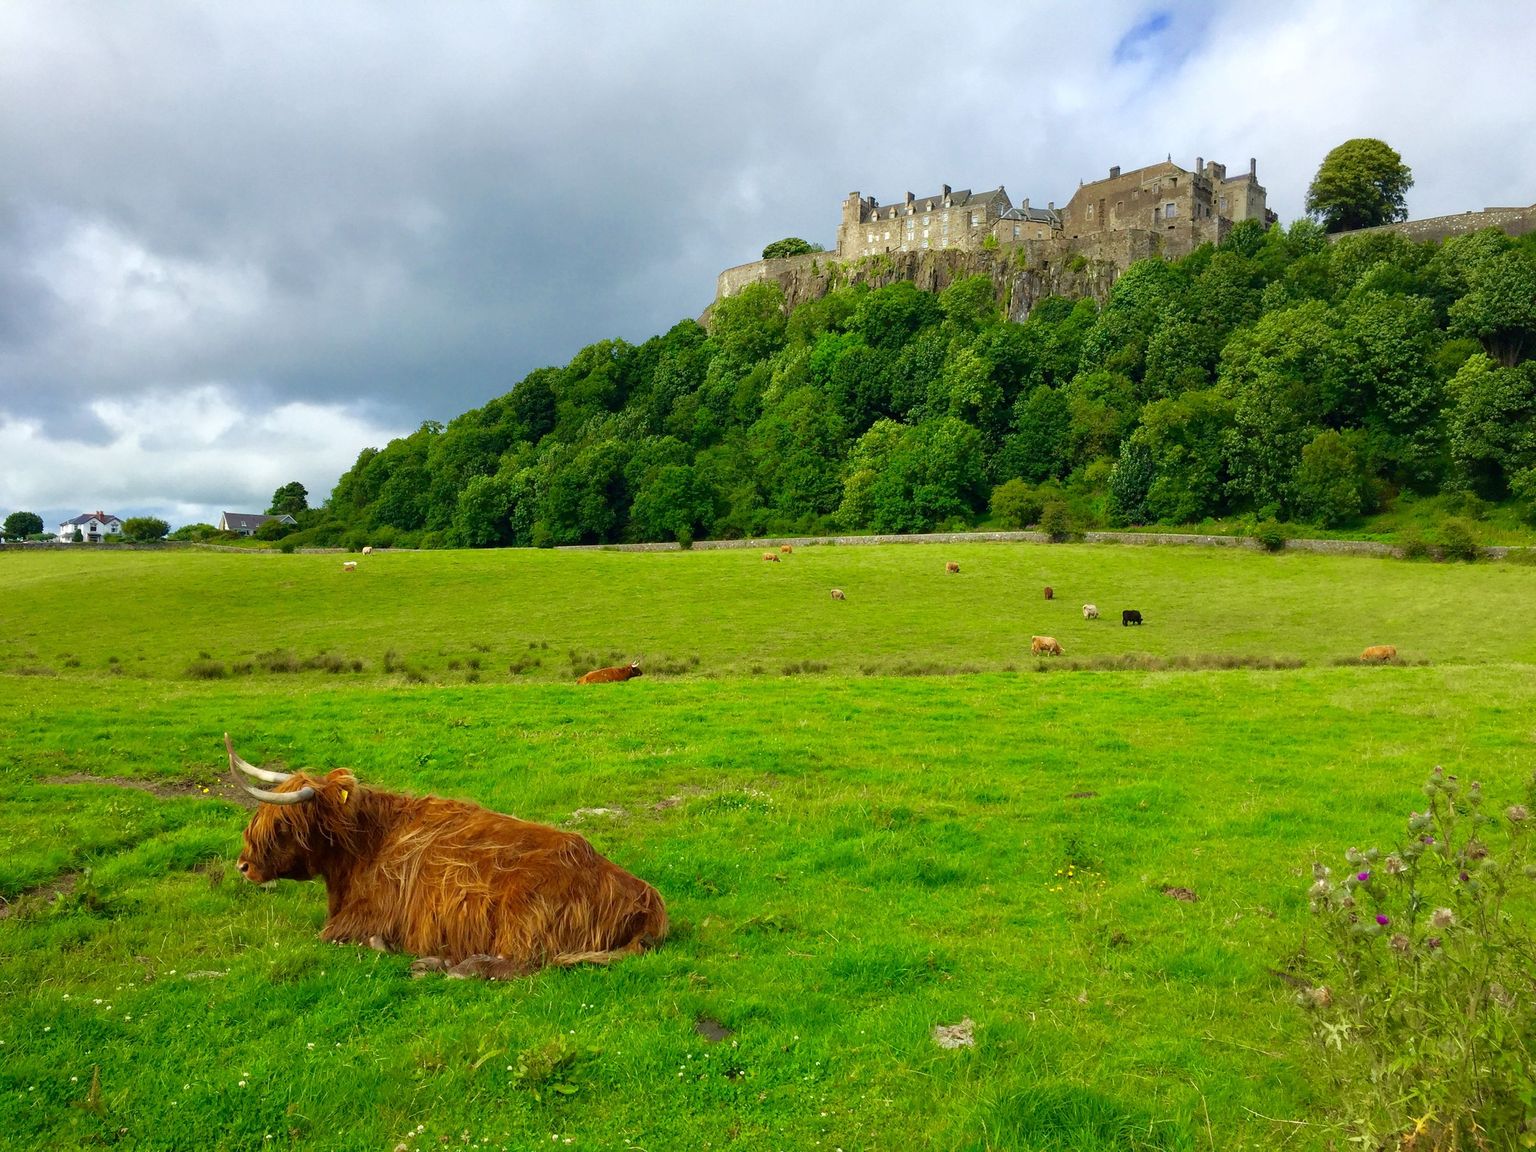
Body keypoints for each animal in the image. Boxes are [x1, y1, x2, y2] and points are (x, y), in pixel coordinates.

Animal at [225, 734, 666, 976]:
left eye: (283, 825)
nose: (243, 865)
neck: (367, 845)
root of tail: (647, 898)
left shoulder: (365, 914)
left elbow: (331, 935)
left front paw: (383, 944)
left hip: (524, 914)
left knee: (525, 963)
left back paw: (451, 968)